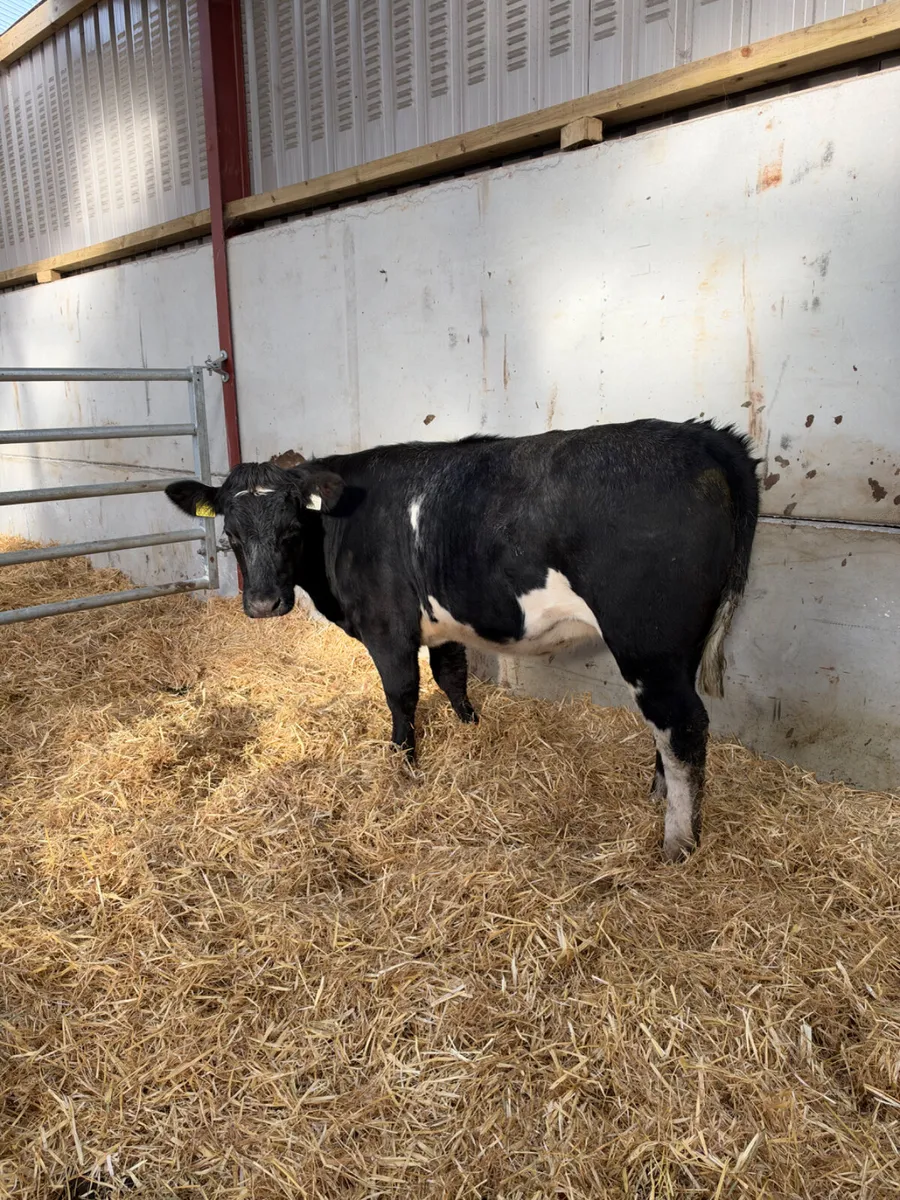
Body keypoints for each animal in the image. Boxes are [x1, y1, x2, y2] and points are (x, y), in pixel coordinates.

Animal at [166, 420, 759, 861]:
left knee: (681, 724)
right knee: (670, 725)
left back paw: (677, 841)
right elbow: (451, 676)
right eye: (231, 535)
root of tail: (701, 435)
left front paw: (404, 766)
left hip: (645, 639)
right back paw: (657, 795)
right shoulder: (440, 623)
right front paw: (471, 730)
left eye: (291, 529)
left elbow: (402, 694)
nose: (263, 604)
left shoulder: (387, 626)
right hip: (676, 648)